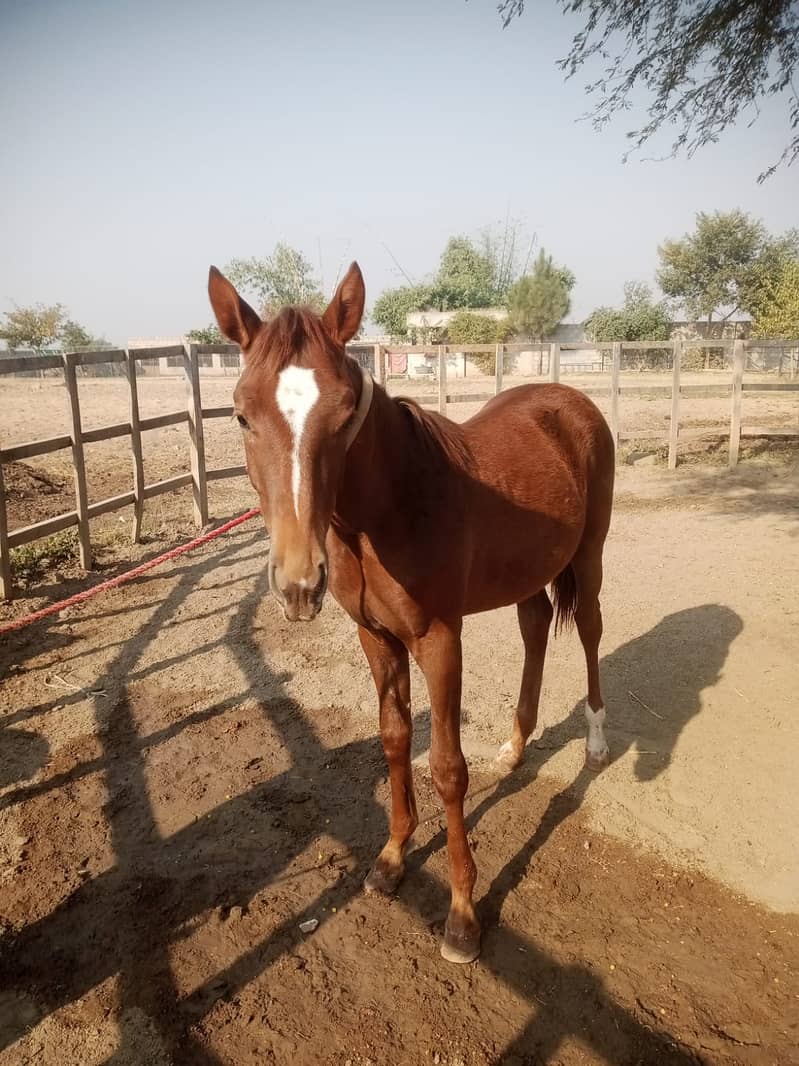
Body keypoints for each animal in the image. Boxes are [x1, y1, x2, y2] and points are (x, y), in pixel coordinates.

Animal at [209, 260, 617, 967]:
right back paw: (514, 746)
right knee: (536, 628)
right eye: (240, 414)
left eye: (344, 412)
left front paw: (462, 915)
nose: (299, 583)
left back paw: (593, 742)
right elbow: (395, 739)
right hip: (529, 572)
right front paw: (393, 859)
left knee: (589, 632)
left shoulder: (438, 641)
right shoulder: (376, 638)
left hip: (587, 559)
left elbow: (446, 769)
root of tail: (571, 401)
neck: (394, 505)